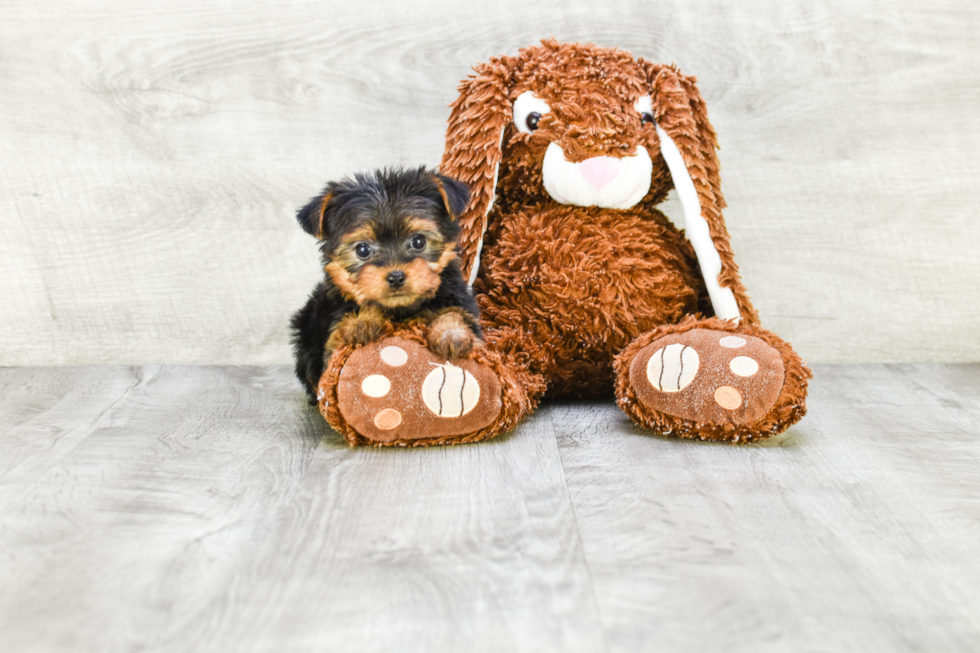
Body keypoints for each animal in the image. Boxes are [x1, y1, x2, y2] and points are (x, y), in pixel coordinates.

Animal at [290, 166, 480, 400]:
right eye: (363, 250)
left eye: (418, 241)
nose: (396, 276)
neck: (399, 310)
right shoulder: (333, 330)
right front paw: (362, 322)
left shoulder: (461, 300)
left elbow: (456, 312)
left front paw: (451, 333)